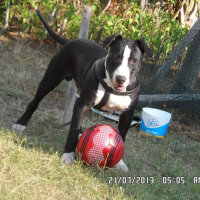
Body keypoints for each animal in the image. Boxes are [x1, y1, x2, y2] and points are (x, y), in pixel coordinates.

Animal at [12, 9, 152, 172]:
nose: (121, 79)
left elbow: (121, 136)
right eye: (115, 57)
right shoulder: (83, 103)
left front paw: (119, 162)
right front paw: (68, 155)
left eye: (134, 61)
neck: (111, 87)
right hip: (51, 79)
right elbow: (73, 129)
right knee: (35, 101)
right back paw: (21, 123)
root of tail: (71, 41)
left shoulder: (127, 113)